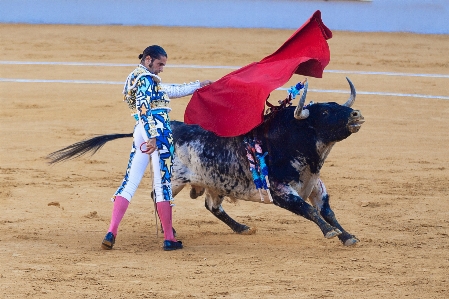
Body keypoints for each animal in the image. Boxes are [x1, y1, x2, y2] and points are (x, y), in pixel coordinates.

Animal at [48, 78, 364, 247]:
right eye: (325, 113)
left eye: (339, 106)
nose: (356, 115)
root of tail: (168, 128)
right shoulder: (280, 191)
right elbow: (309, 212)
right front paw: (331, 234)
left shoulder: (316, 187)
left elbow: (327, 211)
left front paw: (347, 236)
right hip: (174, 177)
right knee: (158, 197)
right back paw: (172, 232)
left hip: (216, 183)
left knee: (212, 207)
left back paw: (241, 228)